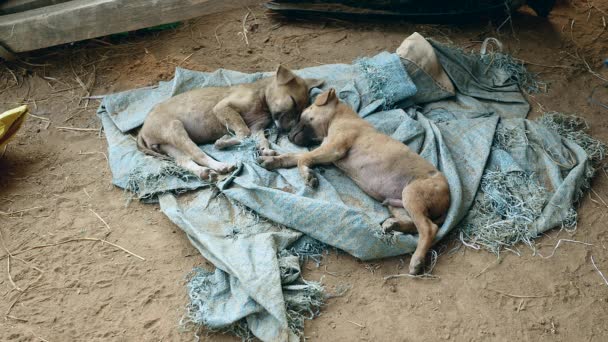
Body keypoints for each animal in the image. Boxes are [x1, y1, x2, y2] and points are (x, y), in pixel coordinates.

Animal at [137, 65, 324, 180]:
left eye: (302, 112)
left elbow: (259, 139)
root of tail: (142, 130)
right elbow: (243, 133)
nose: (289, 131)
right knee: (198, 154)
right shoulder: (223, 108)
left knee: (184, 161)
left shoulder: (257, 127)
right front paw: (223, 142)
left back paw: (204, 173)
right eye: (292, 101)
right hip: (176, 129)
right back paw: (220, 166)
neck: (261, 98)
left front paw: (265, 150)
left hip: (170, 146)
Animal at [258, 89, 448, 276]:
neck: (339, 117)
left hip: (411, 194)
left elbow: (302, 158)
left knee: (428, 228)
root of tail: (448, 198)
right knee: (414, 225)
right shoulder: (326, 152)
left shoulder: (333, 148)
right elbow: (294, 156)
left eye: (303, 113)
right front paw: (273, 160)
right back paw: (393, 224)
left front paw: (307, 175)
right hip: (397, 203)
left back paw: (417, 260)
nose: (288, 136)